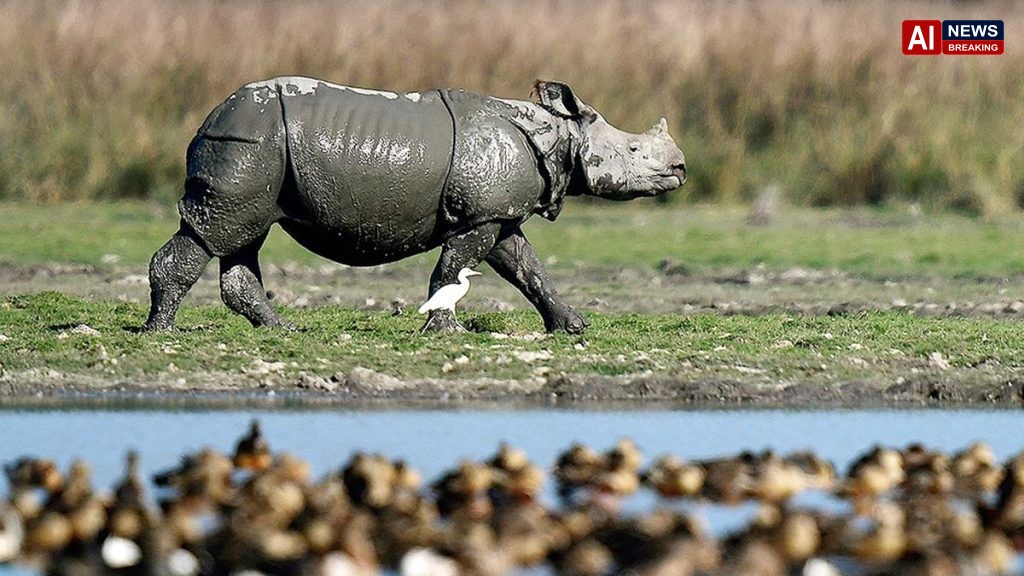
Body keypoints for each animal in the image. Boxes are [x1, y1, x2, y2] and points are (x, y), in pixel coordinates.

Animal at [144, 77, 686, 334]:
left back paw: (283, 329)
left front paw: (572, 328)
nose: (681, 168)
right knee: (214, 232)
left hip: (257, 149)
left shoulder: (497, 213)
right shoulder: (480, 217)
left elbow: (528, 268)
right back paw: (161, 332)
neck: (559, 132)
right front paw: (447, 330)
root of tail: (210, 115)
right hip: (251, 142)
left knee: (242, 236)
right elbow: (452, 271)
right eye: (634, 150)